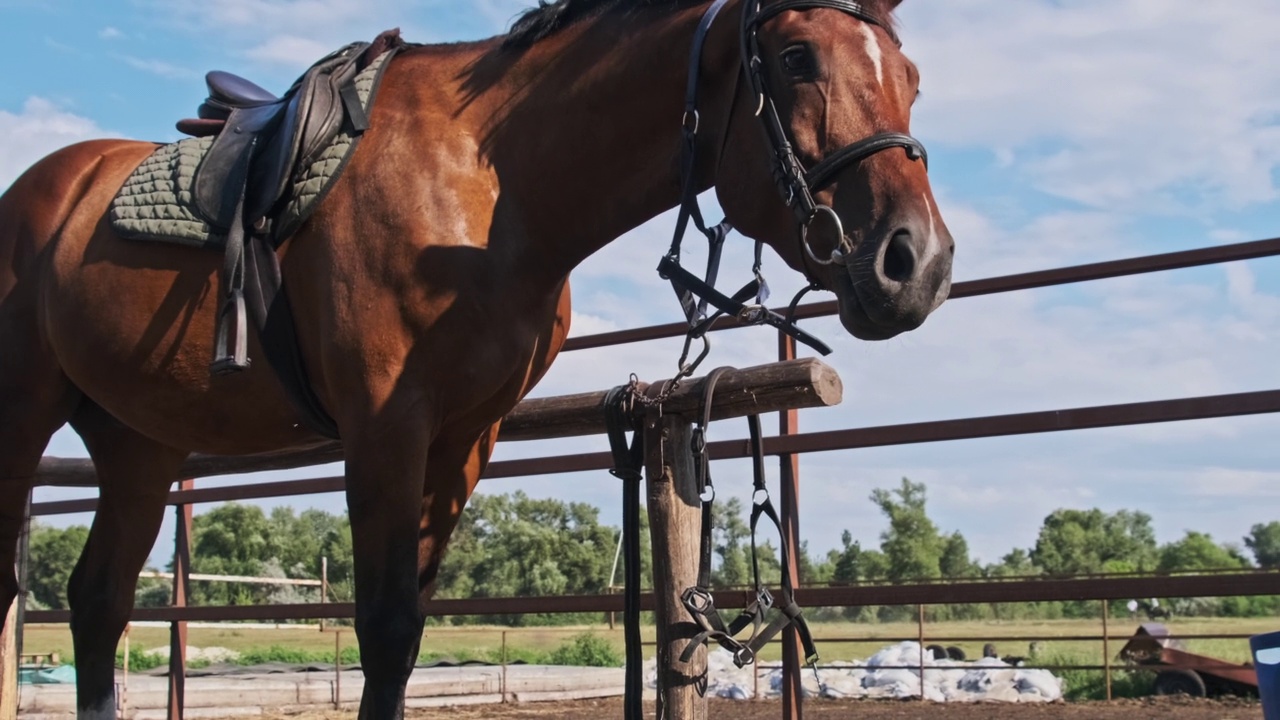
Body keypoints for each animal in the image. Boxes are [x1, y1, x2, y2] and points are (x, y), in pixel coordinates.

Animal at [0, 0, 952, 712]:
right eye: (796, 56)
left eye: (912, 79)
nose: (919, 263)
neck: (491, 192)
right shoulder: (384, 431)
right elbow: (386, 632)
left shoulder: (463, 438)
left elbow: (412, 625)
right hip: (27, 427)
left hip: (138, 447)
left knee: (97, 604)